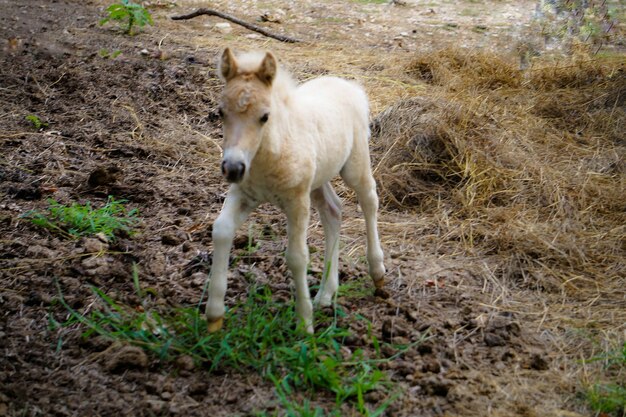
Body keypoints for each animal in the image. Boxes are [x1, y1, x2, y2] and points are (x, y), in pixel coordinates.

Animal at [205, 48, 382, 334]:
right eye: (220, 112)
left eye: (264, 116)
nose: (232, 168)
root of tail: (350, 86)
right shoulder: (243, 194)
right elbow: (221, 230)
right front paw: (214, 317)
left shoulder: (297, 201)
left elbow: (297, 257)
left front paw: (304, 324)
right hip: (318, 180)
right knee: (333, 211)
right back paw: (325, 295)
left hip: (354, 164)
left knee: (369, 200)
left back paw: (378, 273)